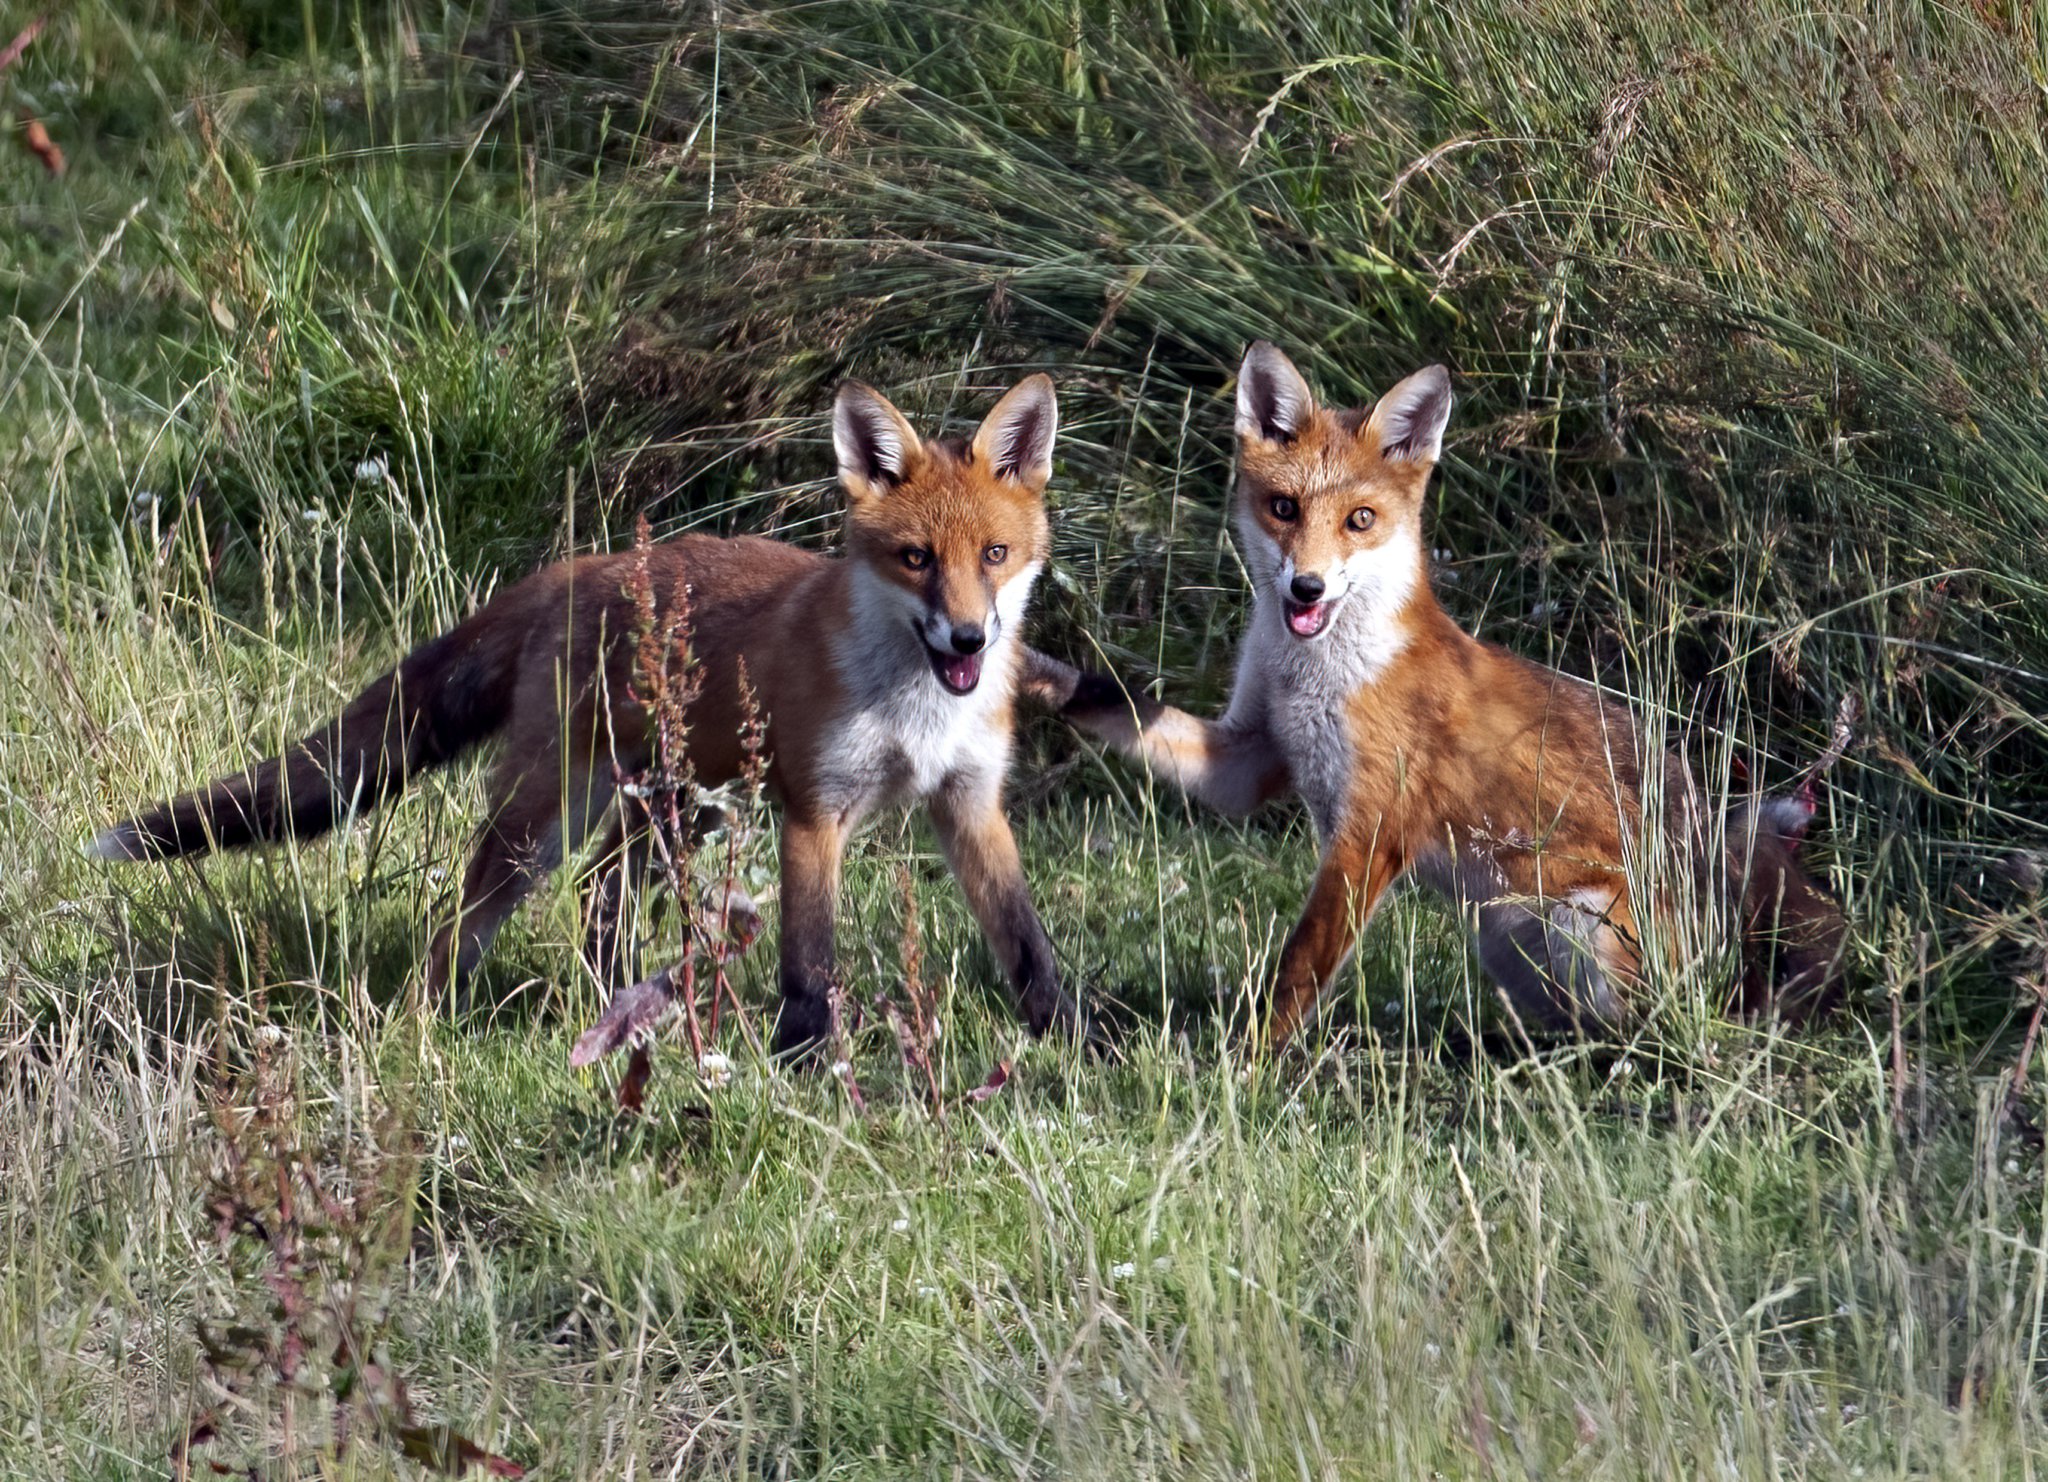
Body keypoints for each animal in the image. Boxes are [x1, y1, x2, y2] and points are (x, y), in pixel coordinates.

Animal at [94, 374, 1084, 1057]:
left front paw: (1076, 1039)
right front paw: (806, 1063)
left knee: (598, 900)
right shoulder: (816, 808)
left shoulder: (969, 803)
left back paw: (621, 1012)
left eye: (995, 555)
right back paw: (424, 1023)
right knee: (464, 922)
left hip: (674, 810)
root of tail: (571, 571)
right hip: (546, 817)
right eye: (916, 558)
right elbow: (811, 964)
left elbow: (1028, 943)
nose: (968, 639)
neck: (914, 709)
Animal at [1027, 342, 1847, 1047]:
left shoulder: (1370, 831)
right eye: (1284, 508)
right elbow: (1114, 702)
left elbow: (1298, 969)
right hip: (1504, 936)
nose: (1306, 588)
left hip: (1579, 925)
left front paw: (1249, 1063)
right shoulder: (1249, 756)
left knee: (1652, 1037)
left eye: (1359, 520)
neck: (1321, 676)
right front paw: (1035, 673)